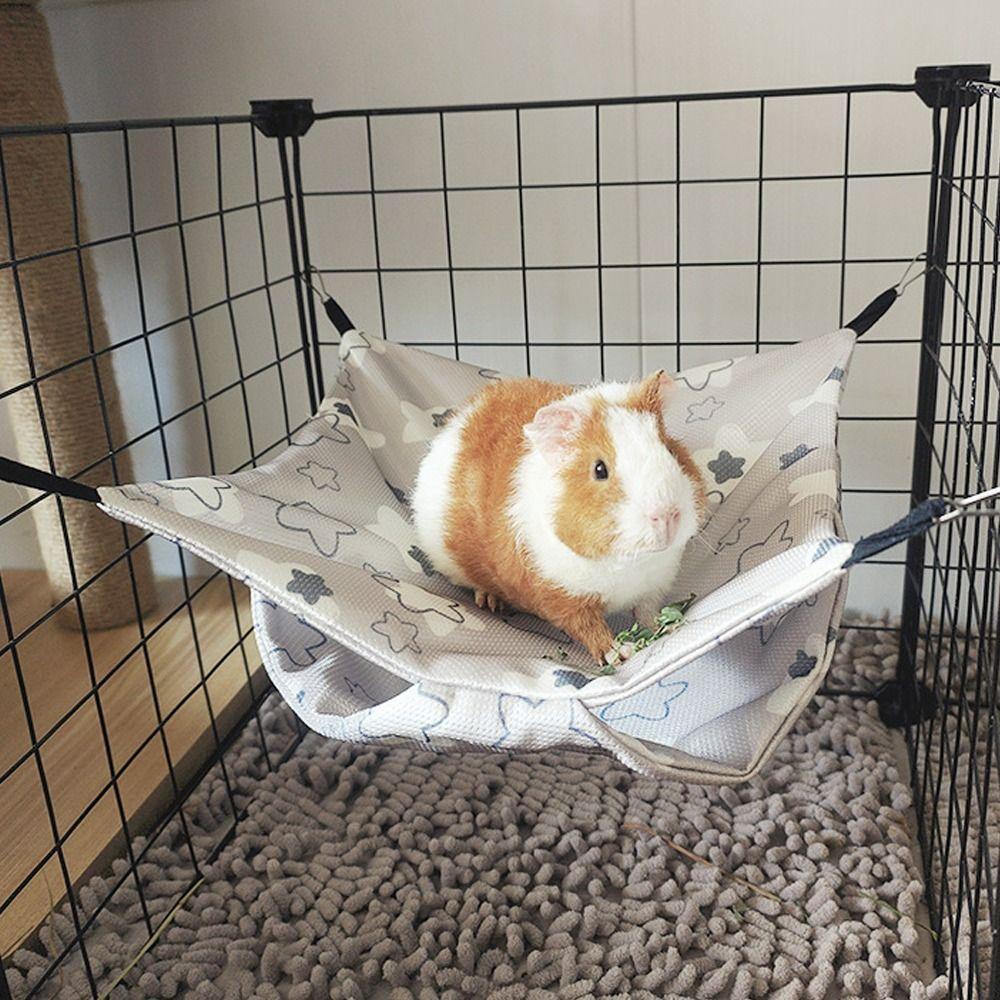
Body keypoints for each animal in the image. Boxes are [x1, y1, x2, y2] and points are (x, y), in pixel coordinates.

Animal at [410, 371, 706, 664]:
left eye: (669, 449)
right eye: (599, 469)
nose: (667, 515)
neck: (630, 562)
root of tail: (462, 416)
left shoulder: (654, 585)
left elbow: (647, 612)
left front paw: (669, 627)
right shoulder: (563, 599)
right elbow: (592, 631)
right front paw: (622, 652)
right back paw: (490, 601)